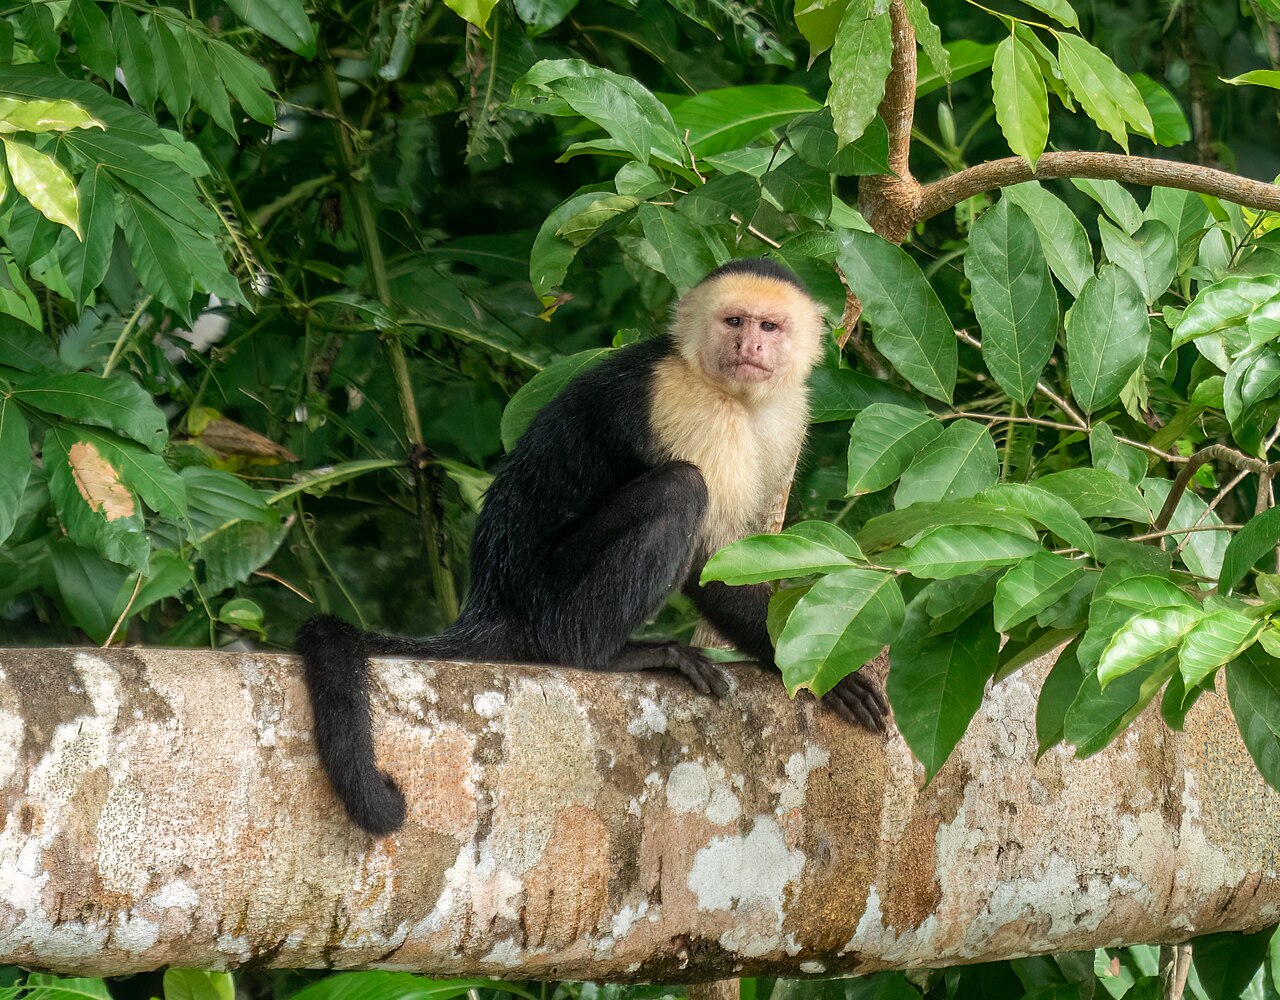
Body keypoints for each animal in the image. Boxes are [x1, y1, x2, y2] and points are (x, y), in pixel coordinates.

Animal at [296, 258, 889, 835]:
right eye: (734, 321)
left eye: (769, 327)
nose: (749, 347)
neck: (729, 392)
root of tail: (491, 602)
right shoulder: (694, 407)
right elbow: (709, 563)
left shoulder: (791, 415)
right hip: (547, 594)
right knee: (680, 489)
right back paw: (604, 654)